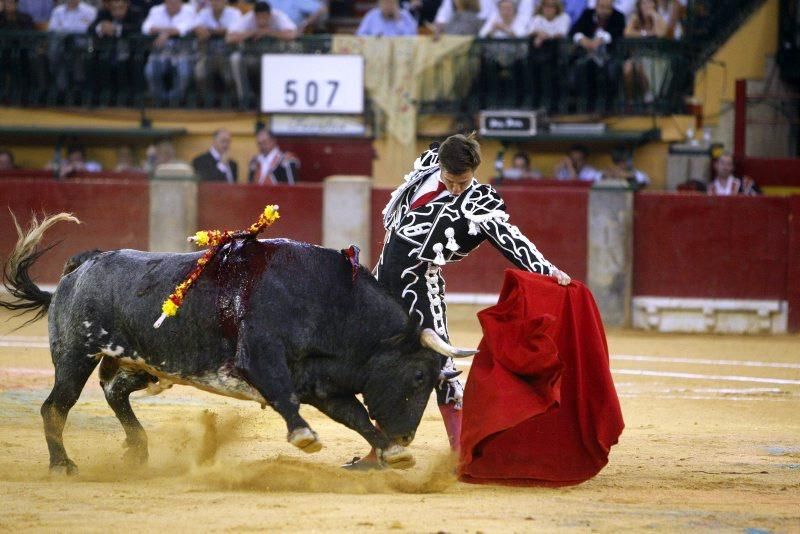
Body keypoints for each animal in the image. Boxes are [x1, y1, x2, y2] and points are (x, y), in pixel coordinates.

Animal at [1, 216, 476, 476]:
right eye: (418, 375)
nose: (407, 435)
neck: (327, 300)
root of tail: (82, 266)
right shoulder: (261, 360)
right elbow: (286, 398)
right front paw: (305, 437)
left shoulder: (324, 384)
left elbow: (356, 415)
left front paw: (393, 453)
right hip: (75, 355)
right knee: (55, 407)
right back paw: (63, 465)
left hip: (145, 363)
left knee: (114, 391)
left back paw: (138, 451)